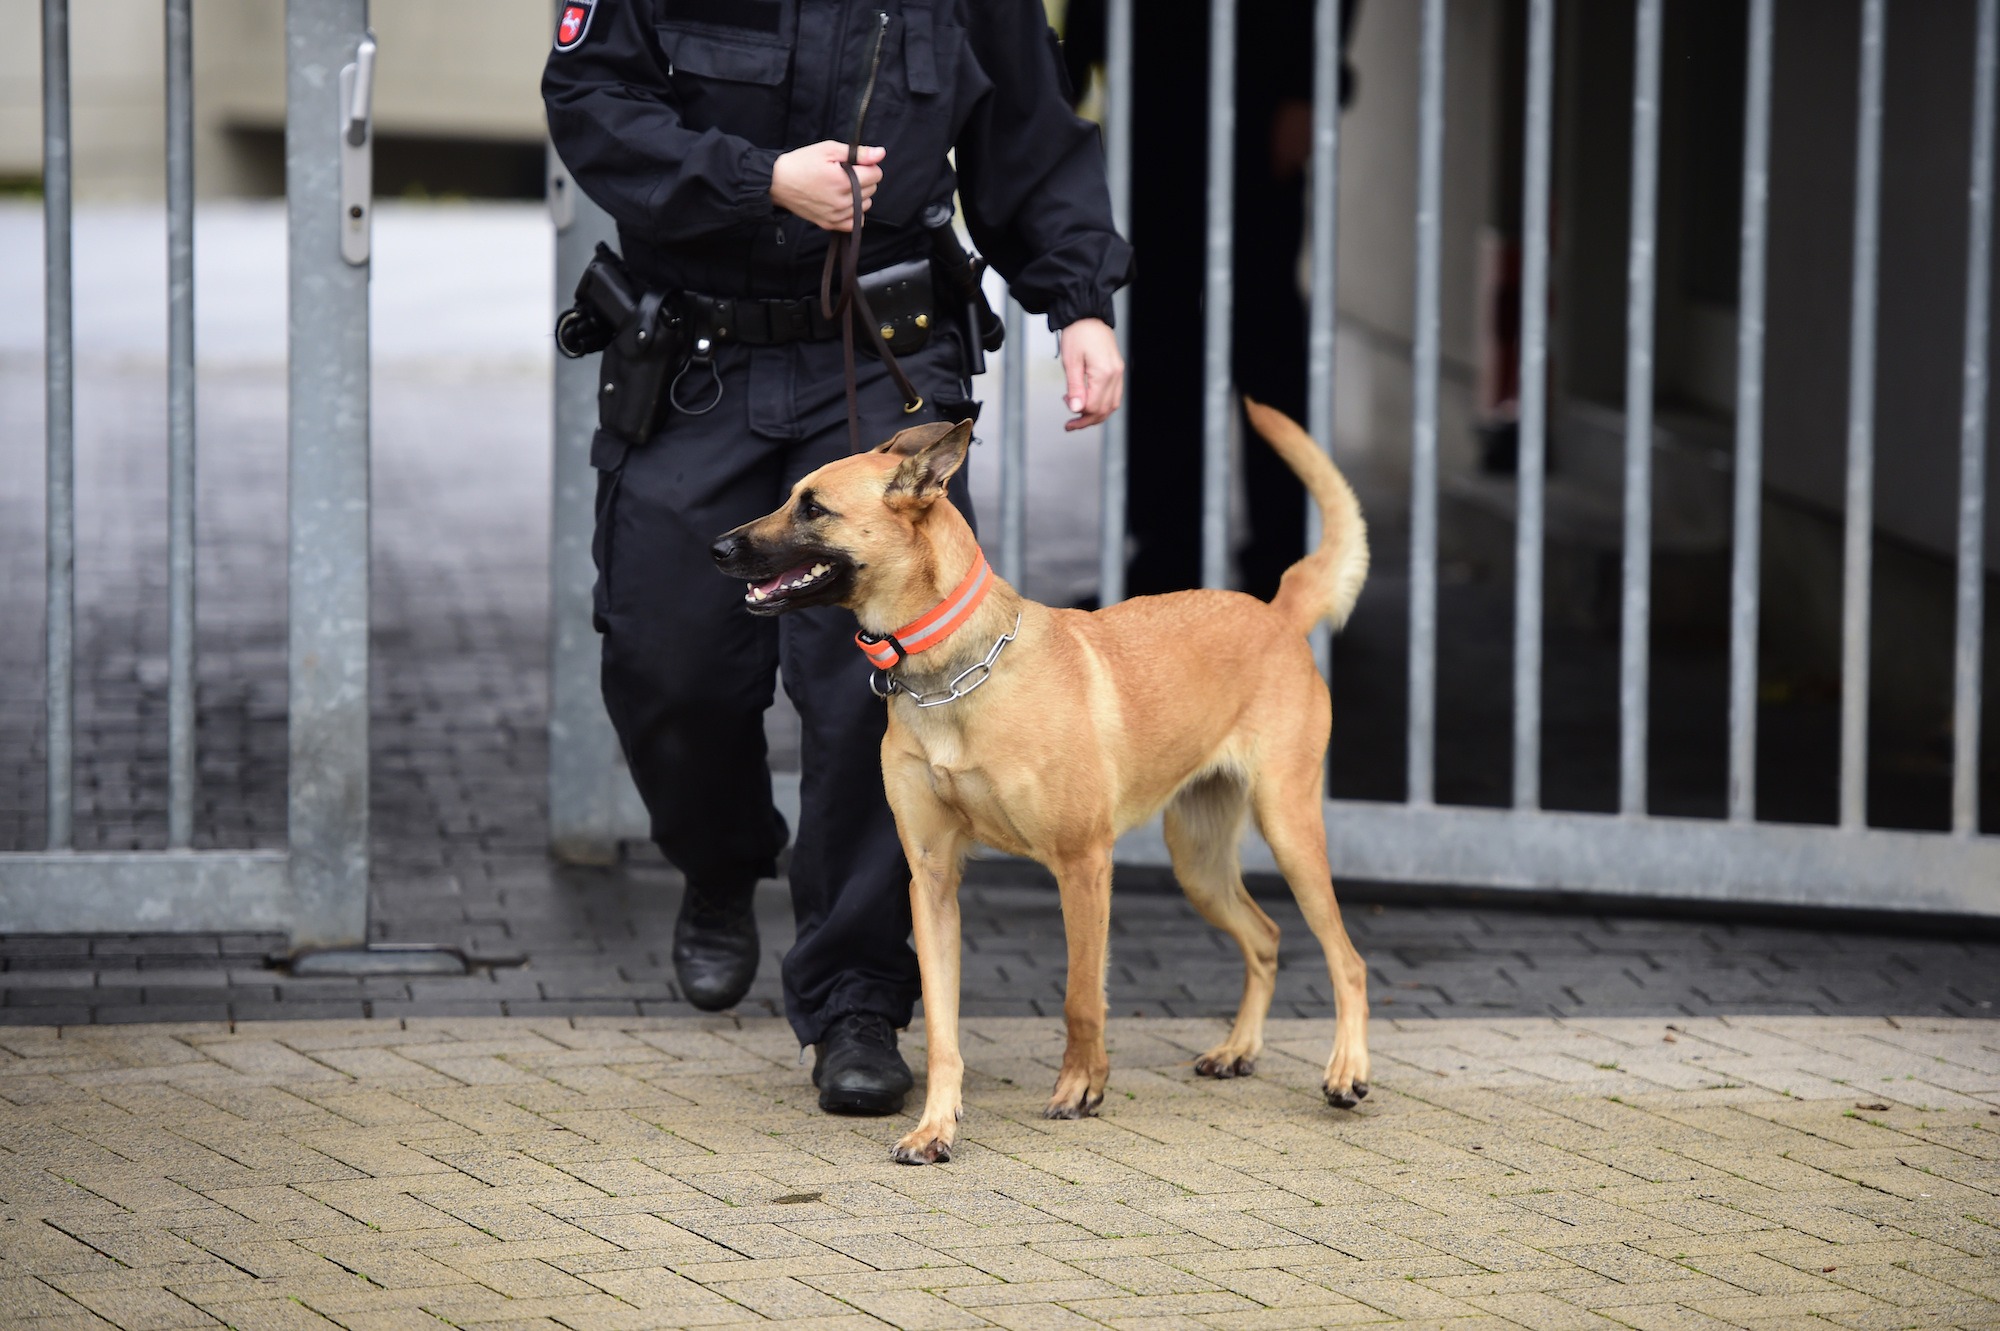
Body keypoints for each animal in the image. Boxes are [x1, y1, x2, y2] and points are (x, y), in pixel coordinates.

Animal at [716, 399, 1376, 1159]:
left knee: (1346, 959)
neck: (953, 672)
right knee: (1265, 936)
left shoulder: (1083, 865)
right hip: (1199, 863)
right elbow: (942, 1027)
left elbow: (1081, 997)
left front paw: (1081, 1088)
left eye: (813, 507)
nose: (718, 547)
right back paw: (1240, 1048)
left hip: (1290, 833)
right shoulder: (932, 881)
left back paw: (1347, 1071)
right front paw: (935, 1126)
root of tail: (1275, 611)